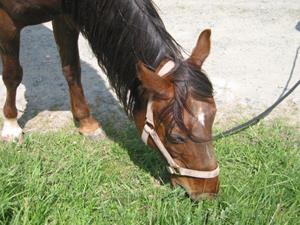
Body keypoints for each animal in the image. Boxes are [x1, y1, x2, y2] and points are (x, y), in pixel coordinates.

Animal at [0, 0, 220, 200]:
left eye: (212, 119)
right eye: (175, 137)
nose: (208, 192)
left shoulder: (65, 16)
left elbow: (72, 69)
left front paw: (87, 123)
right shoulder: (8, 21)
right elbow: (13, 75)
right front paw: (11, 126)